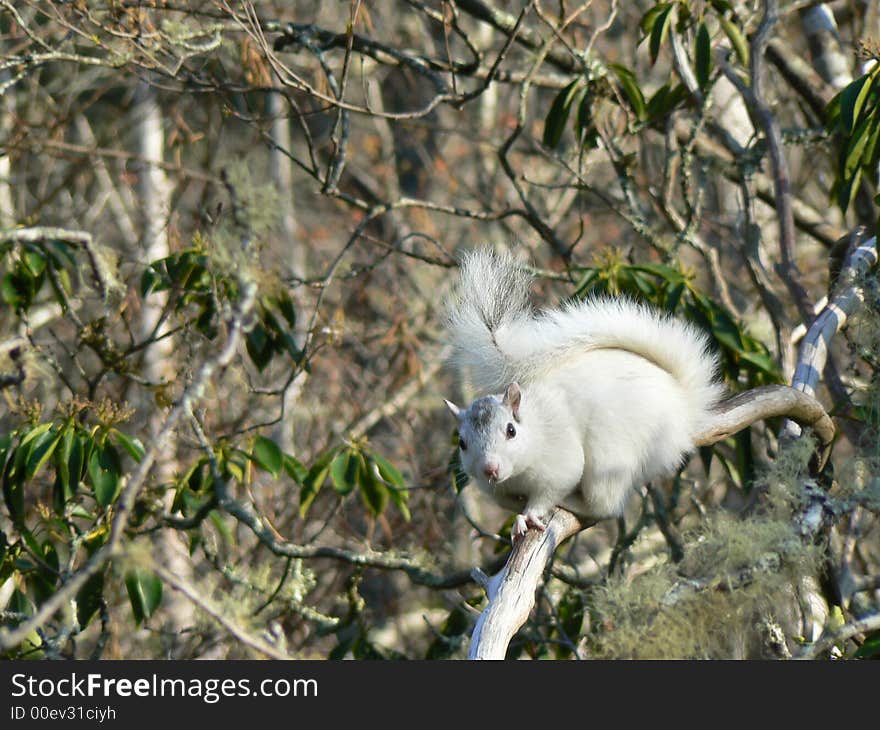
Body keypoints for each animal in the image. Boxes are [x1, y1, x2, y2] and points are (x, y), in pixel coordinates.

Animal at [444, 250, 724, 540]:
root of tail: (683, 406)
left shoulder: (560, 462)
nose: (490, 468)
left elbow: (549, 491)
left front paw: (529, 514)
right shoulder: (496, 491)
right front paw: (519, 516)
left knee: (605, 506)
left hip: (608, 459)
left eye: (511, 430)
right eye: (462, 443)